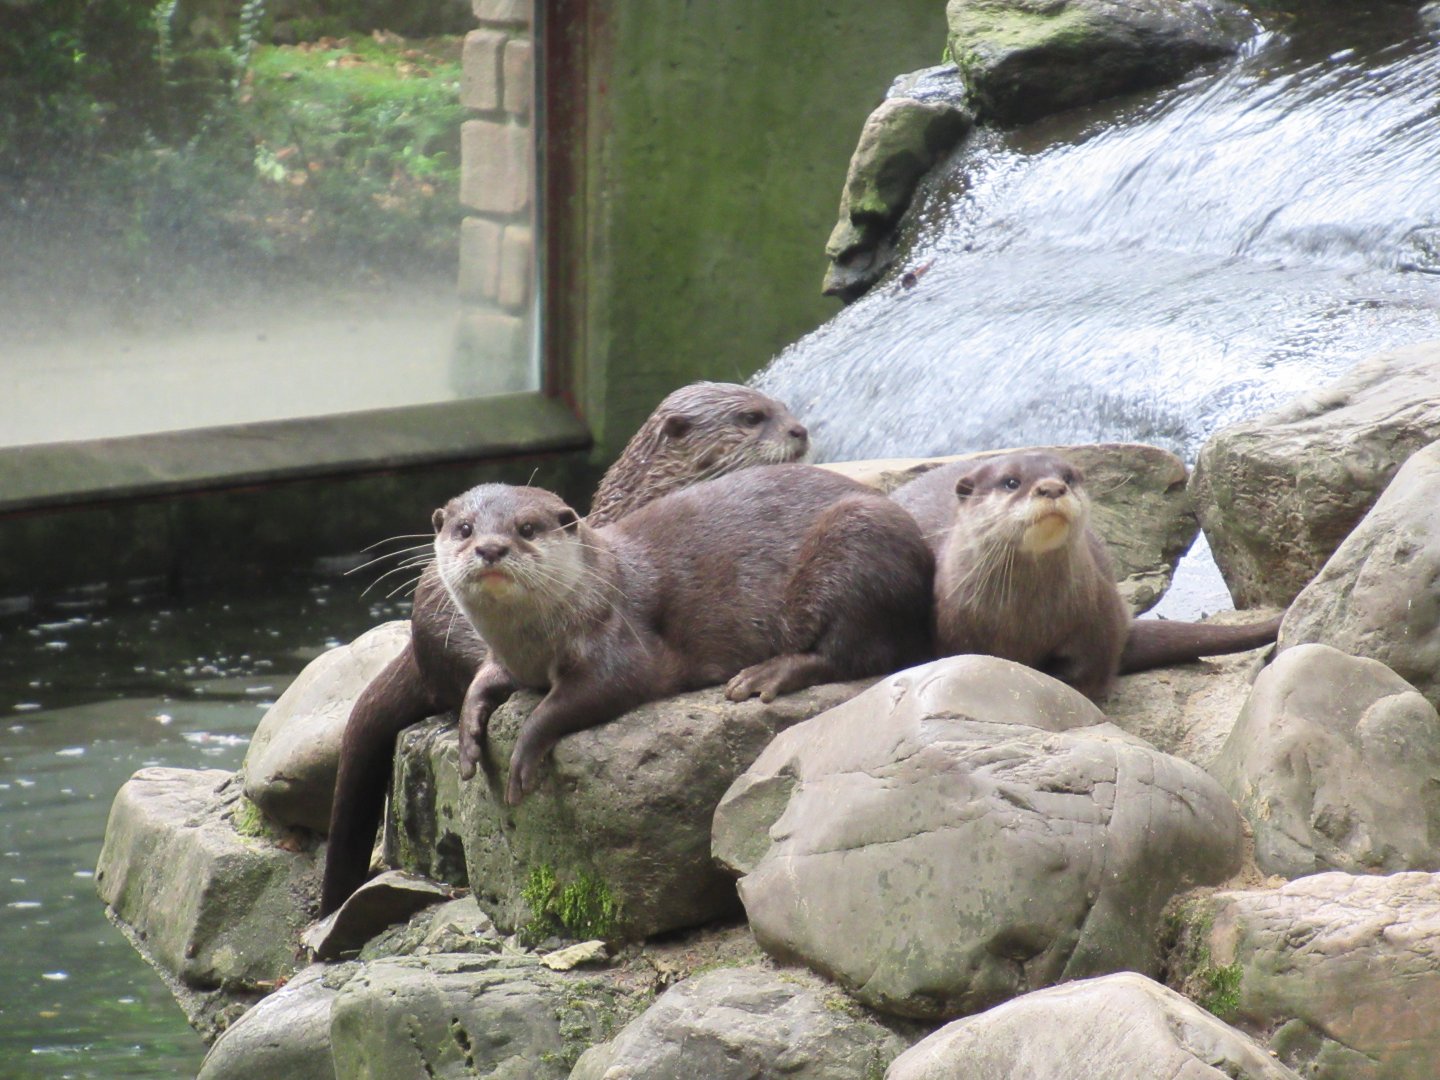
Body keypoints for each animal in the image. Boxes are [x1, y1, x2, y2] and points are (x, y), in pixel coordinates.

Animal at [434, 464, 934, 805]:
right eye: (465, 529)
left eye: (527, 529)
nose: (490, 548)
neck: (533, 642)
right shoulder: (510, 658)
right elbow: (481, 681)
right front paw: (468, 733)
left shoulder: (620, 643)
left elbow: (584, 695)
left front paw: (523, 752)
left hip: (862, 541)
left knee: (857, 654)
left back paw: (764, 675)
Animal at [891, 452, 1280, 701]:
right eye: (1011, 482)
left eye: (1067, 477)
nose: (1051, 488)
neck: (1025, 619)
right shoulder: (954, 628)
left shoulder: (1095, 621)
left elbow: (1087, 672)